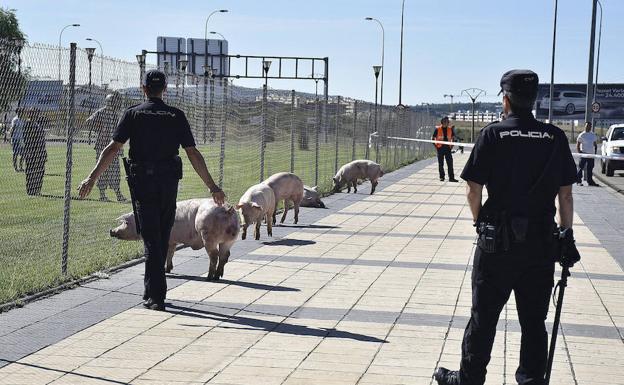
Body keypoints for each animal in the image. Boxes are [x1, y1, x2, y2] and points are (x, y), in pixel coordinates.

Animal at [109, 198, 239, 280]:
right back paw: (217, 276)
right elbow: (170, 253)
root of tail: (227, 210)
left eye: (126, 223)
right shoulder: (172, 241)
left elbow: (166, 254)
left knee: (214, 256)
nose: (111, 231)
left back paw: (209, 278)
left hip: (208, 237)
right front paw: (168, 269)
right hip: (230, 240)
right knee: (225, 256)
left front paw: (165, 271)